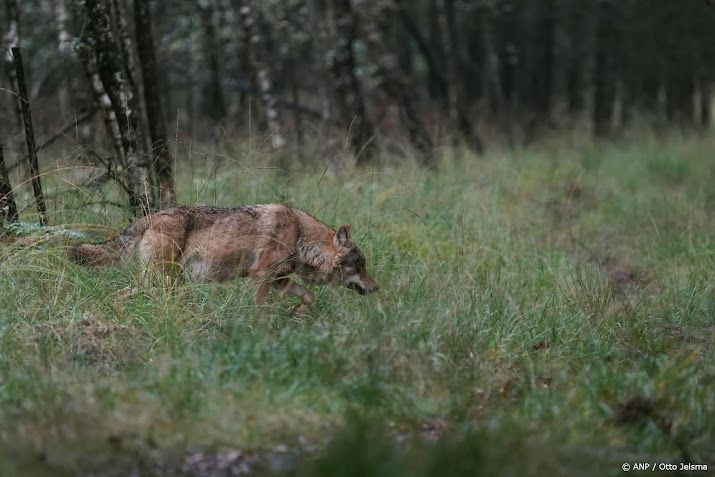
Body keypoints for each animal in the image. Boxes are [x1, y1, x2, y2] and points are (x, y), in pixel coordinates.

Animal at [68, 204, 379, 314]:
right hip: (163, 281)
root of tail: (150, 216)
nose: (377, 288)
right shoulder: (262, 278)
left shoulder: (280, 280)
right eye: (361, 265)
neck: (300, 236)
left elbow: (309, 296)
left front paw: (298, 314)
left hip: (163, 283)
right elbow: (259, 309)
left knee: (119, 295)